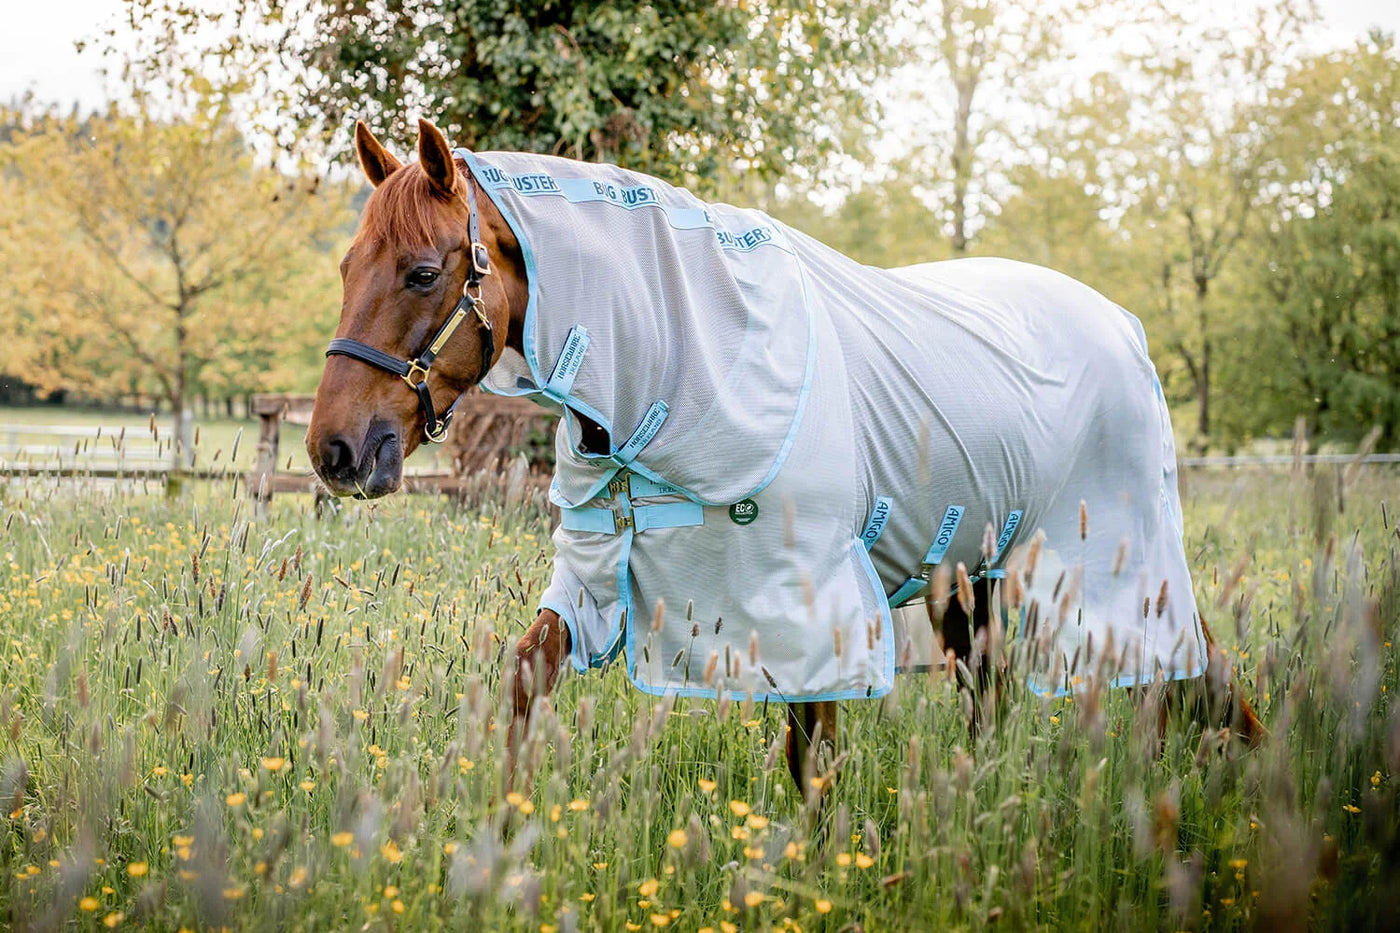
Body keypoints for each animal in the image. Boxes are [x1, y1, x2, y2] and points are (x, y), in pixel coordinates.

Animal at [305, 118, 1262, 794]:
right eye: (346, 266)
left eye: (423, 272)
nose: (336, 450)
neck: (692, 350)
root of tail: (1122, 324)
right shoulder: (593, 573)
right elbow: (525, 674)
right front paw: (504, 829)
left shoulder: (812, 604)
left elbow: (811, 759)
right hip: (974, 575)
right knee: (993, 700)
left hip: (1111, 564)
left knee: (1198, 671)